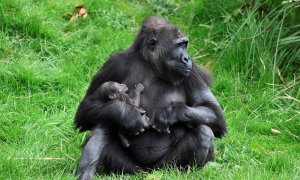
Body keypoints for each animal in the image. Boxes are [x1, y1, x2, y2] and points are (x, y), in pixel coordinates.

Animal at [74, 16, 226, 179]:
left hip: (166, 167)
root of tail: (148, 171)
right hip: (128, 169)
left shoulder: (193, 71)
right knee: (102, 125)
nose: (187, 58)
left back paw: (188, 172)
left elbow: (213, 110)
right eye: (179, 45)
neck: (152, 65)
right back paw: (86, 172)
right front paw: (127, 115)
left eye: (185, 45)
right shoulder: (114, 63)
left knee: (204, 132)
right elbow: (86, 108)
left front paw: (170, 113)